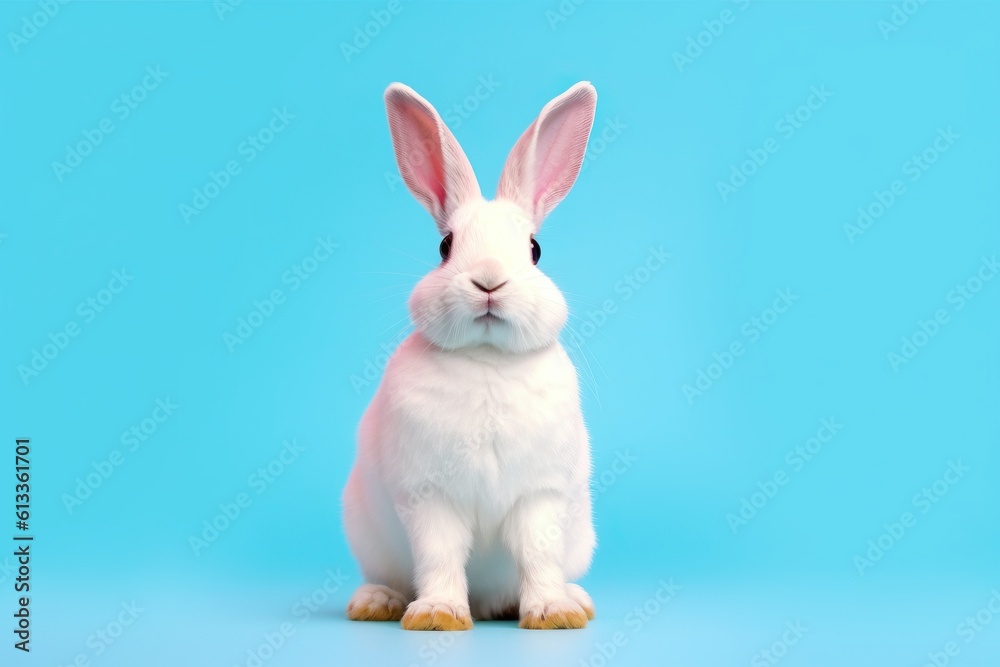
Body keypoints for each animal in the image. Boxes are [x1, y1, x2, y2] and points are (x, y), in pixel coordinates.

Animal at [342, 81, 598, 631]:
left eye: (535, 249)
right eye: (445, 245)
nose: (488, 280)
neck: (487, 360)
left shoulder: (540, 496)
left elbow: (537, 555)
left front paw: (553, 614)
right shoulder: (428, 498)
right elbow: (439, 555)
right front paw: (438, 615)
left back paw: (572, 599)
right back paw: (376, 602)